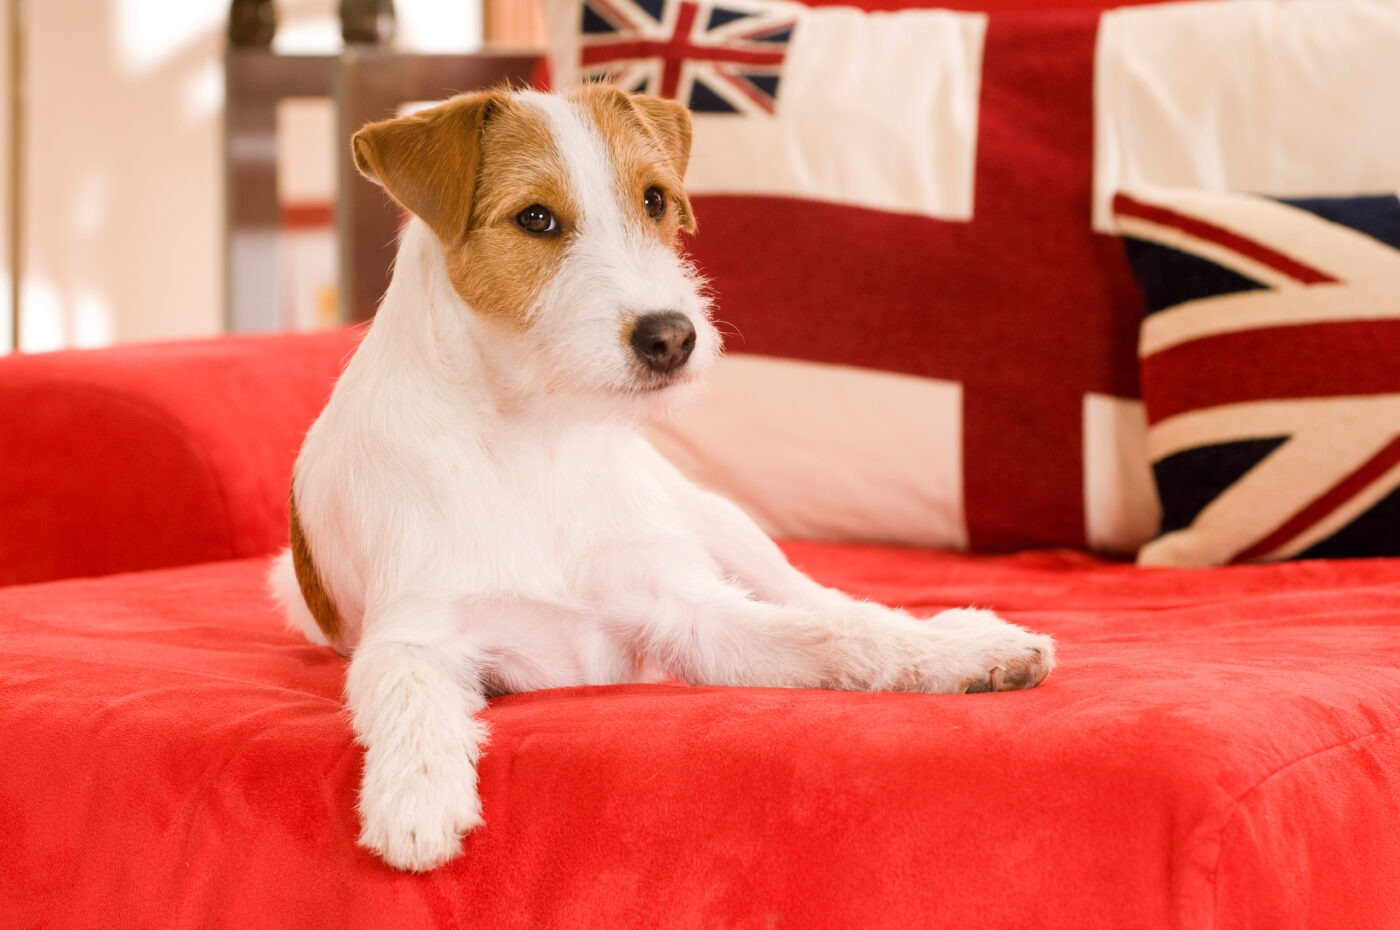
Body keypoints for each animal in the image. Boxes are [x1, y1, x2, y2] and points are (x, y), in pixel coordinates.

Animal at [273, 83, 1052, 873]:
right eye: (534, 217)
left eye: (653, 200)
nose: (672, 336)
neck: (536, 439)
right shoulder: (415, 634)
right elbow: (408, 692)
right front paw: (416, 793)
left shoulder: (687, 611)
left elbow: (838, 637)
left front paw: (962, 651)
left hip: (721, 526)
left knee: (825, 601)